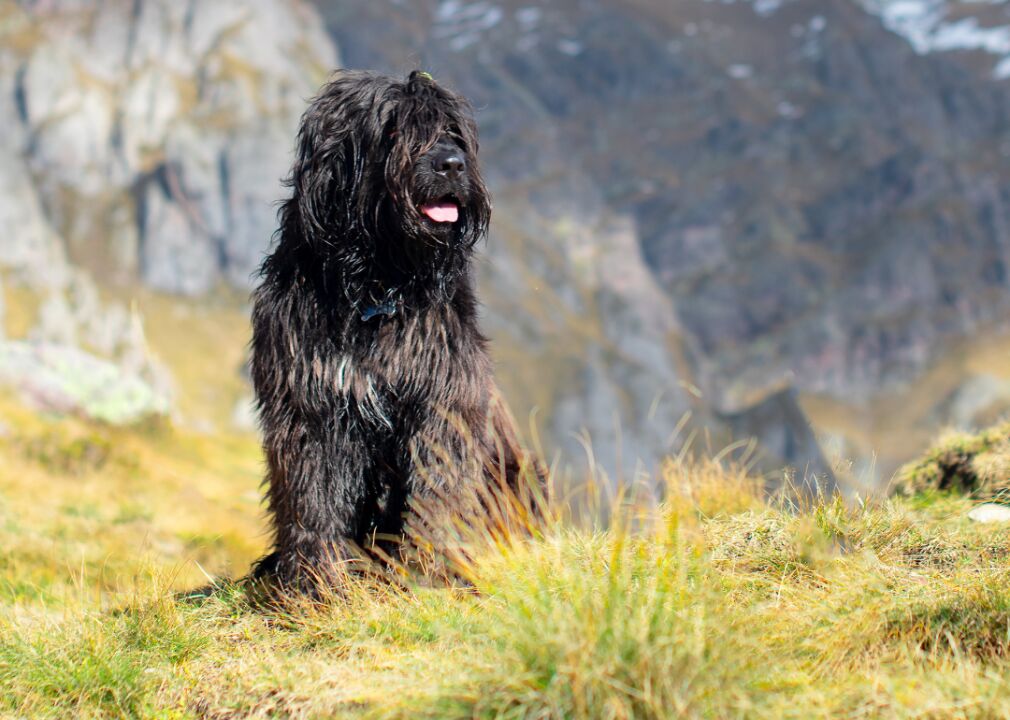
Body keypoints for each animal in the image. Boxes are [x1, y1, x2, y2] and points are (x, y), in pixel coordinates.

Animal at [251, 70, 541, 593]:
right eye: (392, 129)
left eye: (452, 131)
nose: (452, 165)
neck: (376, 286)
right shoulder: (309, 403)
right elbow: (312, 493)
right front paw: (313, 581)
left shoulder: (442, 395)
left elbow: (437, 484)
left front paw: (430, 568)